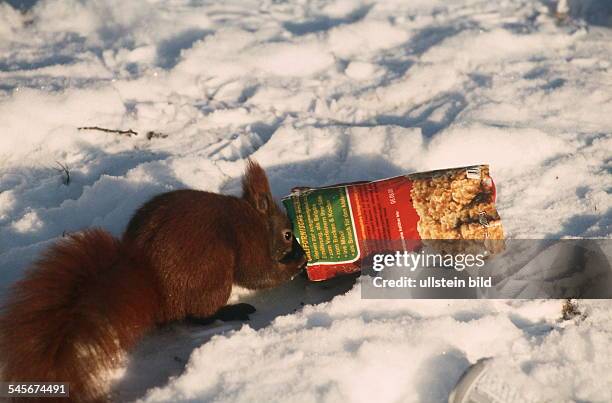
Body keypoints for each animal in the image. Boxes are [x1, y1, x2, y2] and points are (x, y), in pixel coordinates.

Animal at [0, 161, 306, 403]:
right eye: (287, 234)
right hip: (213, 272)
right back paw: (231, 311)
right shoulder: (249, 243)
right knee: (197, 316)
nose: (299, 248)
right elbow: (259, 274)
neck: (256, 220)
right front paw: (297, 263)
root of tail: (154, 290)